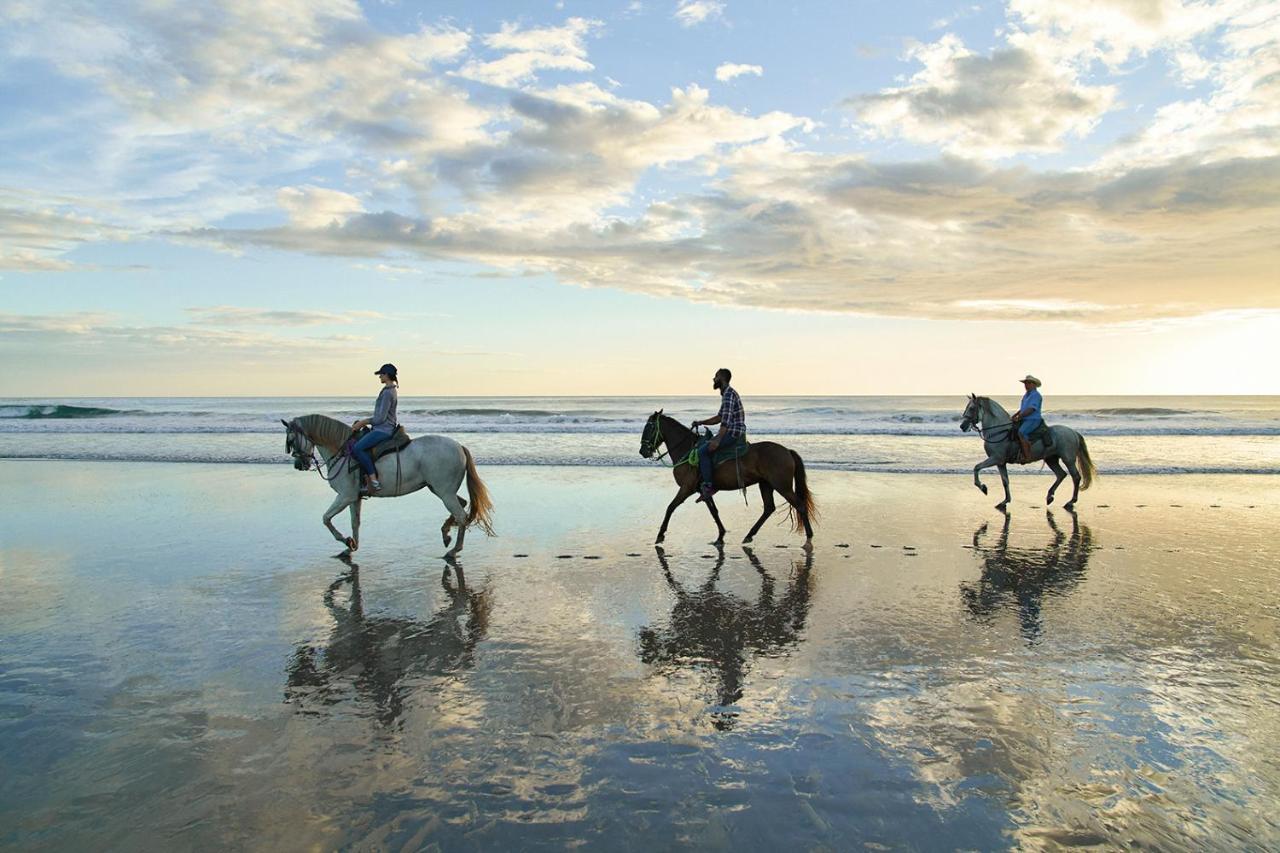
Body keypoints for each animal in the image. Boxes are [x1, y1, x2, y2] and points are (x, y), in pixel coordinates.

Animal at [282, 412, 491, 558]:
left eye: (291, 440)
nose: (299, 464)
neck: (342, 452)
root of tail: (459, 447)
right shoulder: (354, 498)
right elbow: (355, 522)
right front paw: (351, 546)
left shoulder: (345, 496)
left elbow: (326, 518)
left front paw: (346, 541)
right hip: (439, 489)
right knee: (462, 505)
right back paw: (446, 533)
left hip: (444, 492)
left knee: (461, 515)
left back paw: (454, 550)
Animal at [645, 409, 814, 545]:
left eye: (650, 427)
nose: (642, 451)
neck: (687, 450)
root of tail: (787, 451)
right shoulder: (703, 491)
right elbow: (714, 511)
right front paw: (721, 535)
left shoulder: (687, 488)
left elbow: (670, 507)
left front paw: (660, 535)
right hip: (766, 484)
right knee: (768, 508)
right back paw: (749, 535)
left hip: (782, 486)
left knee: (799, 506)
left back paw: (809, 538)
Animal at [962, 394, 1095, 512]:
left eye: (972, 408)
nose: (962, 426)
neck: (999, 431)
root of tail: (1073, 432)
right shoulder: (1001, 463)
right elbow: (1005, 481)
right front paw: (1005, 501)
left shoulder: (996, 459)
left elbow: (976, 467)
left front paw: (983, 488)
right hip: (1051, 459)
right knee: (1061, 474)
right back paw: (1050, 496)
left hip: (1068, 459)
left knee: (1076, 477)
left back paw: (1071, 501)